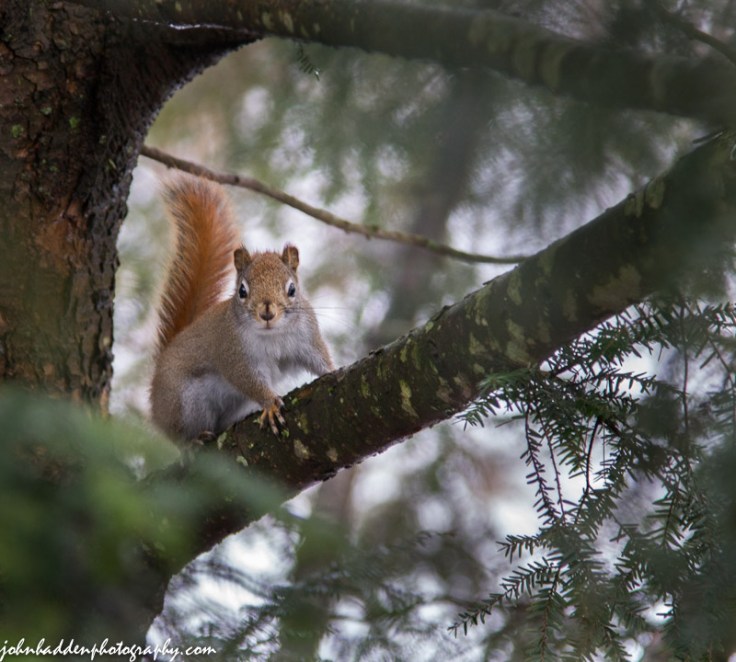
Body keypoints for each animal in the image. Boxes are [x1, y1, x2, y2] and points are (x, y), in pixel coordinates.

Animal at [150, 175, 335, 442]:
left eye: (292, 289)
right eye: (242, 291)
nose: (267, 313)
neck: (273, 335)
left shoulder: (307, 337)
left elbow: (318, 358)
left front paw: (332, 370)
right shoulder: (234, 352)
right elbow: (248, 380)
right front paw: (269, 403)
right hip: (184, 403)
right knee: (177, 435)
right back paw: (193, 439)